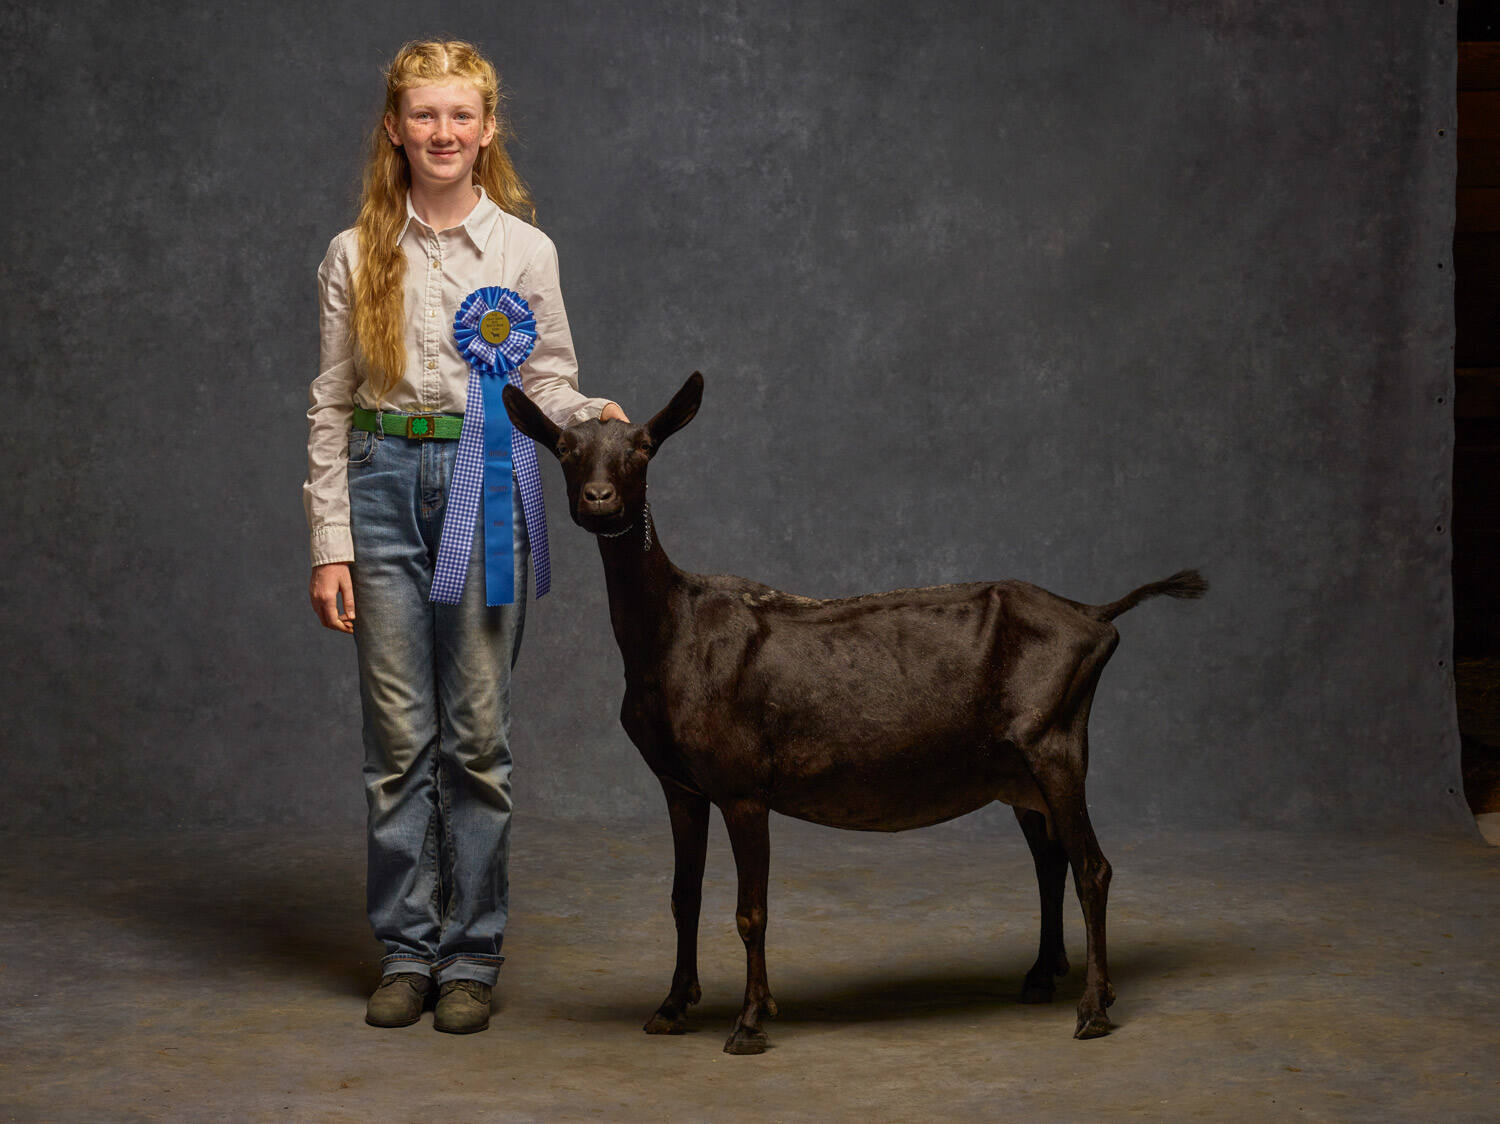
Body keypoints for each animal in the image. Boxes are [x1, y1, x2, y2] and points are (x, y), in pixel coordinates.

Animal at [504, 373, 1206, 1054]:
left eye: (643, 448)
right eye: (564, 449)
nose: (598, 500)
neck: (672, 632)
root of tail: (1094, 616)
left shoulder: (743, 785)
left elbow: (751, 910)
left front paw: (751, 1022)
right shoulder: (680, 785)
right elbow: (684, 897)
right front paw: (673, 1007)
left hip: (1056, 744)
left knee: (1093, 867)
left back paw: (1093, 1008)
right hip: (1016, 771)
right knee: (1050, 858)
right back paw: (1043, 978)